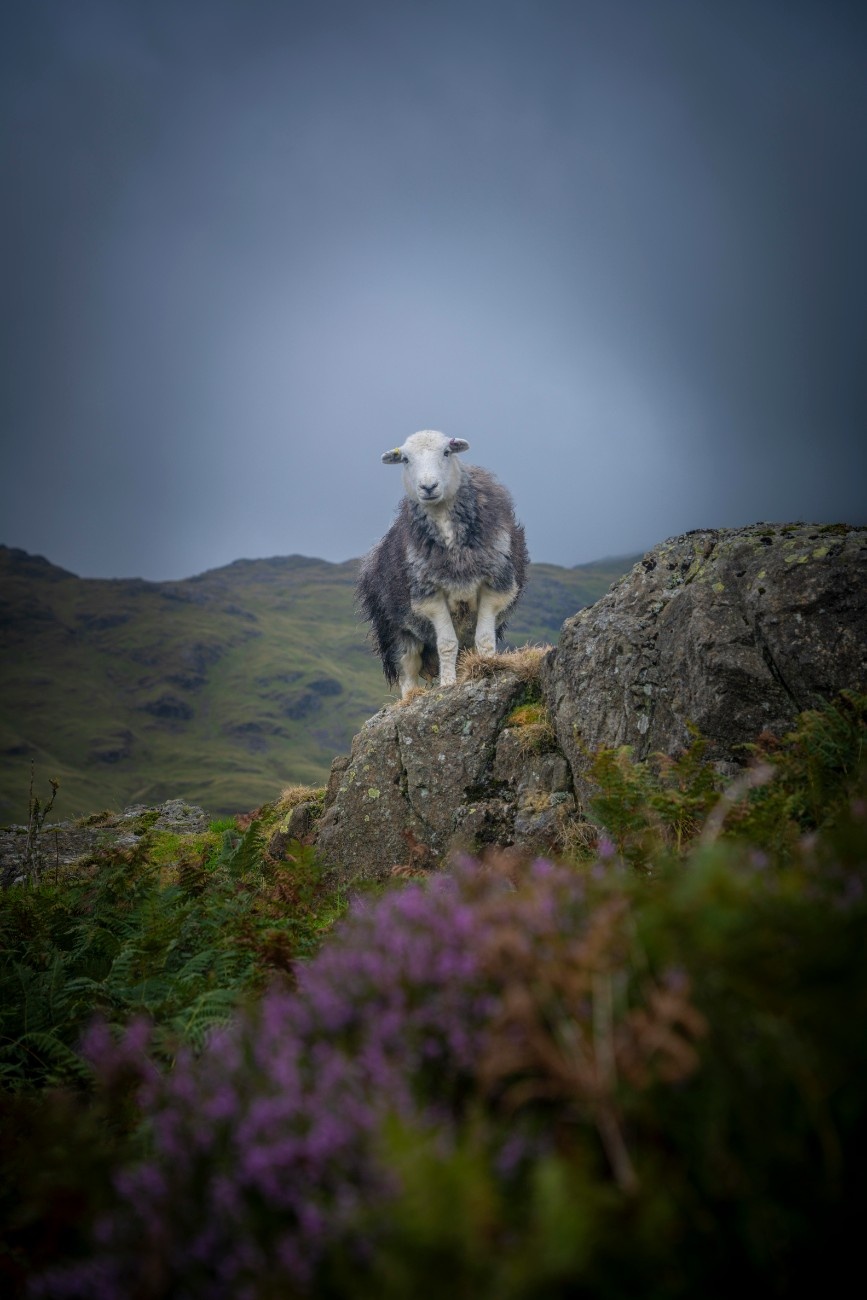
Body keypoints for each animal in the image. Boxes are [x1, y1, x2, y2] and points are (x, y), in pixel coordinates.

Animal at [358, 428, 530, 696]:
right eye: (405, 459)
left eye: (447, 452)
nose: (428, 486)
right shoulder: (430, 595)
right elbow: (447, 643)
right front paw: (448, 684)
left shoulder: (494, 585)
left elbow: (484, 638)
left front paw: (488, 667)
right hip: (397, 628)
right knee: (408, 668)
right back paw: (411, 698)